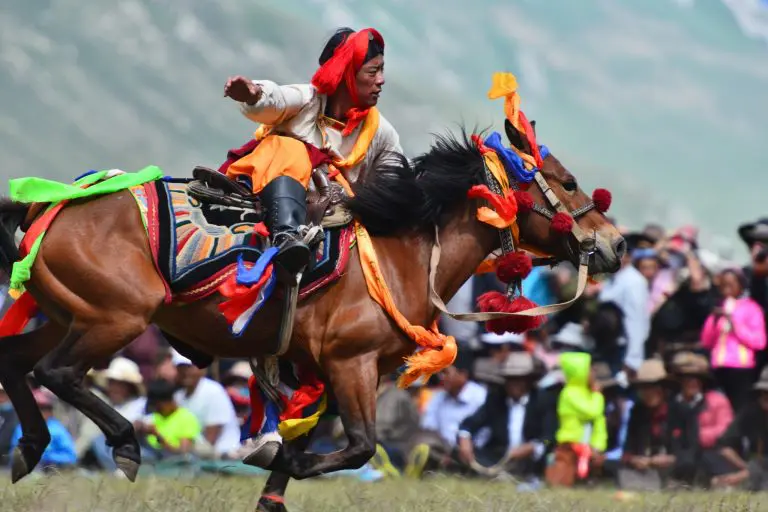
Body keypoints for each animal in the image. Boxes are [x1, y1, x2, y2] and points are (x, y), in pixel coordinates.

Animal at [0, 122, 624, 511]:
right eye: (567, 183)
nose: (615, 244)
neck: (400, 254)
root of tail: (48, 205)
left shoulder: (325, 371)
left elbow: (311, 444)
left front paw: (272, 483)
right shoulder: (351, 365)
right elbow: (357, 447)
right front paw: (266, 451)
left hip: (70, 314)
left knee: (18, 365)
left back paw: (30, 447)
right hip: (118, 316)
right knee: (57, 373)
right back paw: (124, 444)